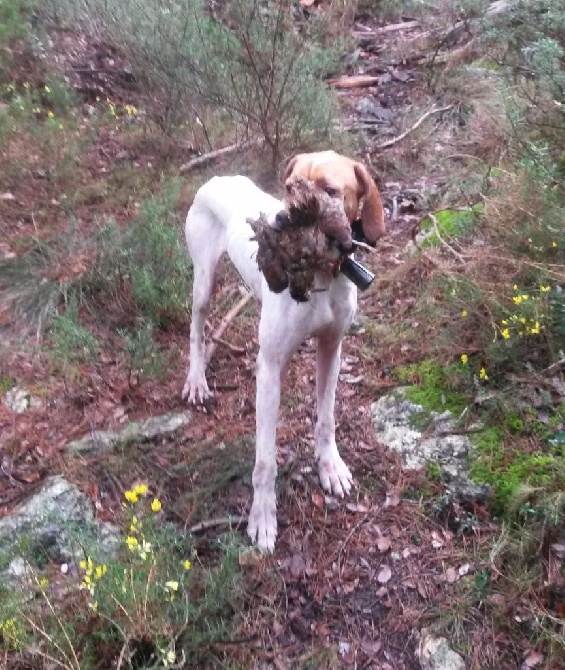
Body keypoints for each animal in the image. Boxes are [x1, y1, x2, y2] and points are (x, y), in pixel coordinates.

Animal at [181, 154, 384, 556]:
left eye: (331, 190)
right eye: (289, 186)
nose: (277, 222)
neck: (320, 275)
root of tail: (217, 177)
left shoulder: (332, 348)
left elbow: (326, 420)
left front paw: (330, 467)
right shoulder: (270, 368)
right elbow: (264, 461)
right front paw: (262, 516)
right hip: (203, 281)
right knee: (196, 328)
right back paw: (196, 379)